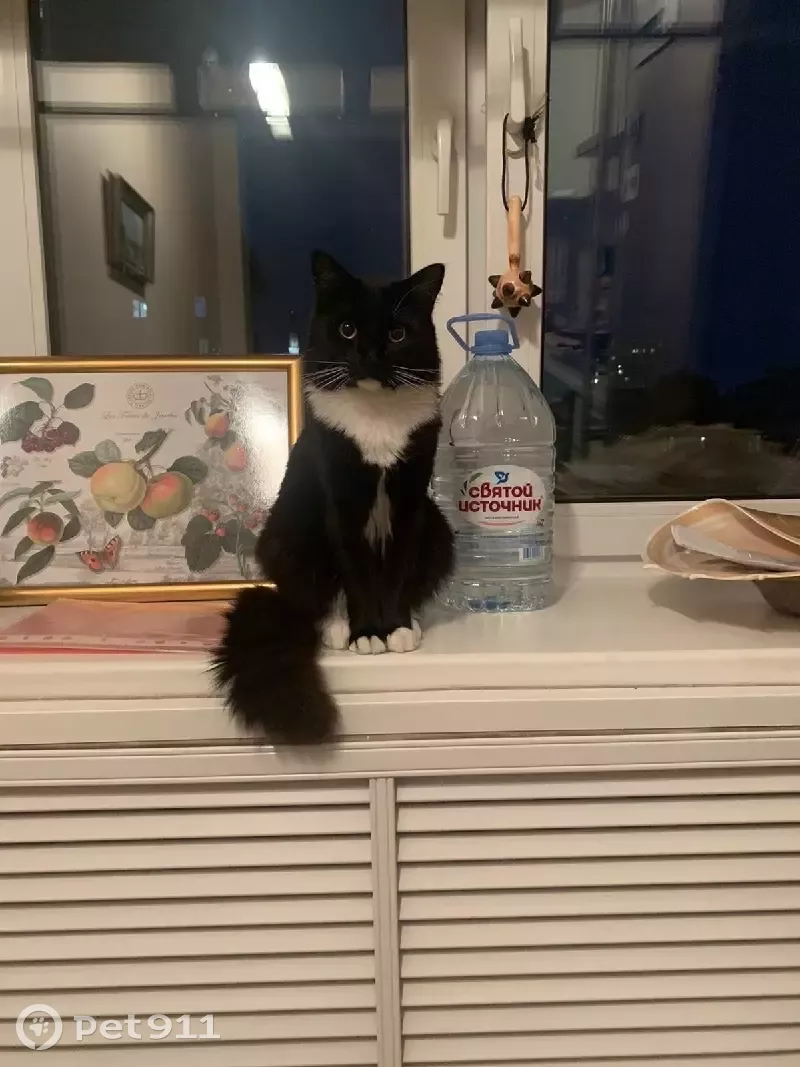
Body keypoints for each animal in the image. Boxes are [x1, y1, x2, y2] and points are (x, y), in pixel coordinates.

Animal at [213, 251, 454, 744]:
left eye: (397, 334)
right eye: (347, 329)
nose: (369, 355)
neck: (376, 420)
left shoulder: (410, 502)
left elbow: (397, 569)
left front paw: (395, 627)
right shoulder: (340, 502)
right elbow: (355, 575)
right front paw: (367, 634)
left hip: (439, 530)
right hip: (289, 533)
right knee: (313, 596)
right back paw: (337, 626)